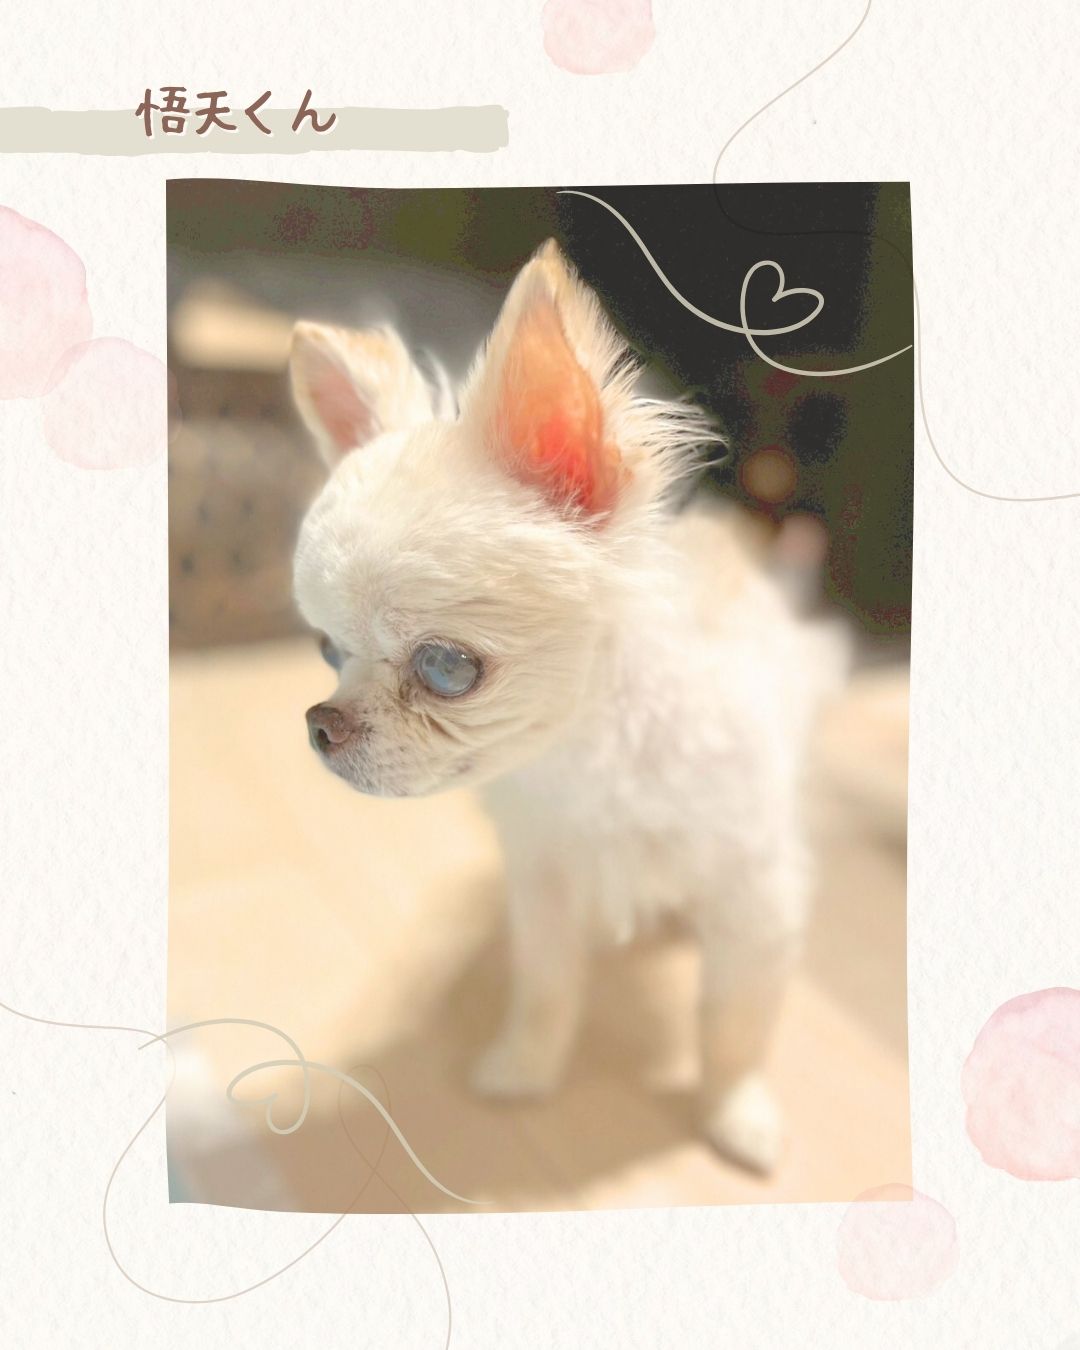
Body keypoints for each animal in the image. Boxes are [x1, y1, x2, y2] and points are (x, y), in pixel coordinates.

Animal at [287, 241, 844, 1172]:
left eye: (446, 668)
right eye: (327, 650)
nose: (320, 726)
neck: (591, 755)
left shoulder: (755, 898)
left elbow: (733, 1023)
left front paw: (735, 1115)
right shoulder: (544, 880)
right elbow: (547, 987)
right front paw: (525, 1067)